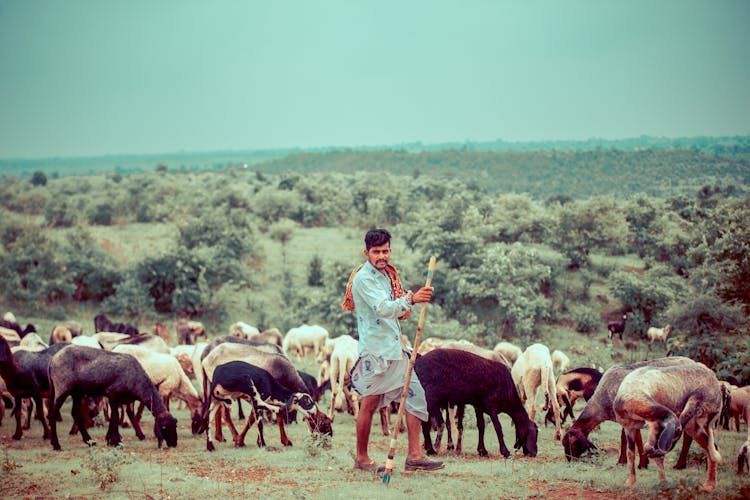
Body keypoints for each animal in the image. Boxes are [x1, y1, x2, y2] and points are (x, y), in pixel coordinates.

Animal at [47, 346, 178, 452]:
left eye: (175, 426)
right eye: (165, 428)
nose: (174, 444)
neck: (137, 380)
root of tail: (53, 360)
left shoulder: (117, 398)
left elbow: (113, 417)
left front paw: (110, 440)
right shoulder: (112, 394)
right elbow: (114, 417)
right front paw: (116, 442)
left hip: (77, 392)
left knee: (75, 413)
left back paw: (90, 441)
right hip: (62, 389)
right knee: (52, 413)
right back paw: (56, 445)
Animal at [564, 354, 700, 466]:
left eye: (573, 443)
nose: (569, 460)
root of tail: (694, 362)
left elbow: (636, 439)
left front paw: (642, 464)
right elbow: (624, 438)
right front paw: (622, 461)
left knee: (688, 437)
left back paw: (680, 464)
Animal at [612, 362, 724, 490]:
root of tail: (714, 378)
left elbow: (654, 454)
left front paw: (663, 483)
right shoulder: (630, 428)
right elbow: (631, 454)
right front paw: (630, 482)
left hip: (696, 404)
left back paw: (709, 484)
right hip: (694, 427)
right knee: (712, 448)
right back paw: (710, 484)